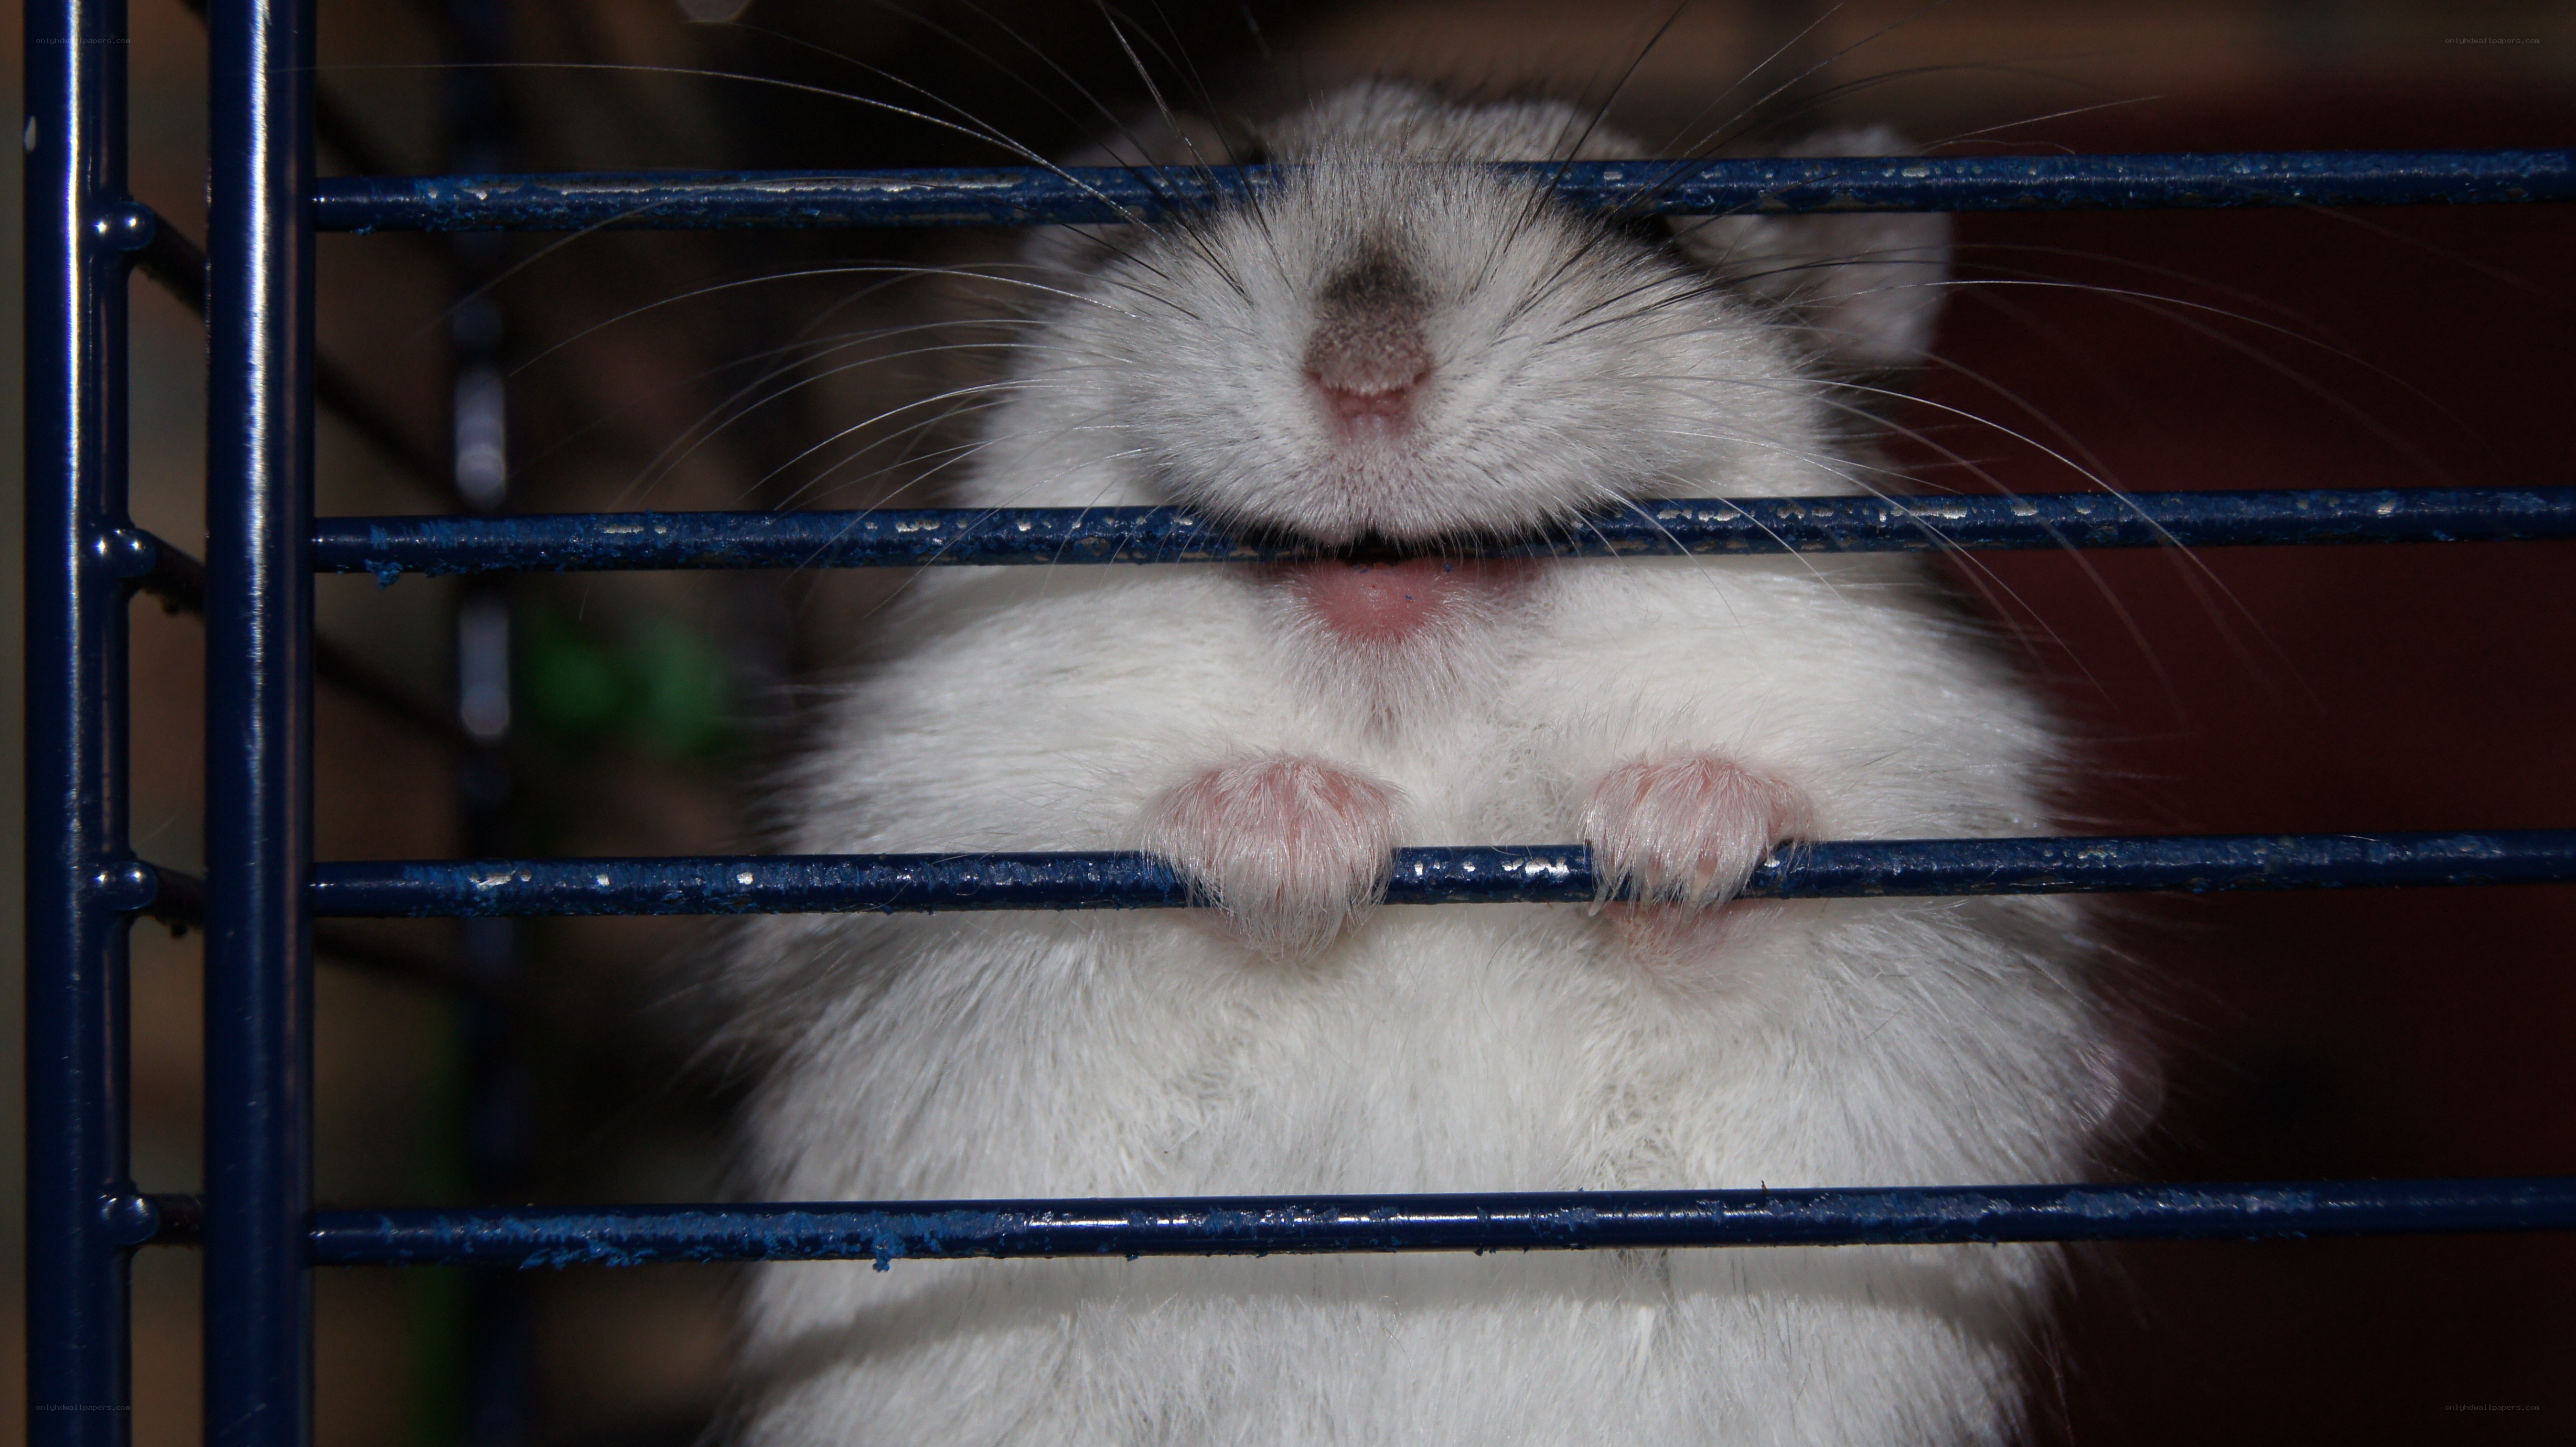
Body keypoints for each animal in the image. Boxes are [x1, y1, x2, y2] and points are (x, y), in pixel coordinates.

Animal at [720, 82, 2130, 1446]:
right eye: (1215, 185)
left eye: (1648, 225)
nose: (1365, 377)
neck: (1431, 752)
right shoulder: (936, 905)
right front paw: (1297, 826)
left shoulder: (1938, 936)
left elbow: (1744, 921)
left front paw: (1672, 829)